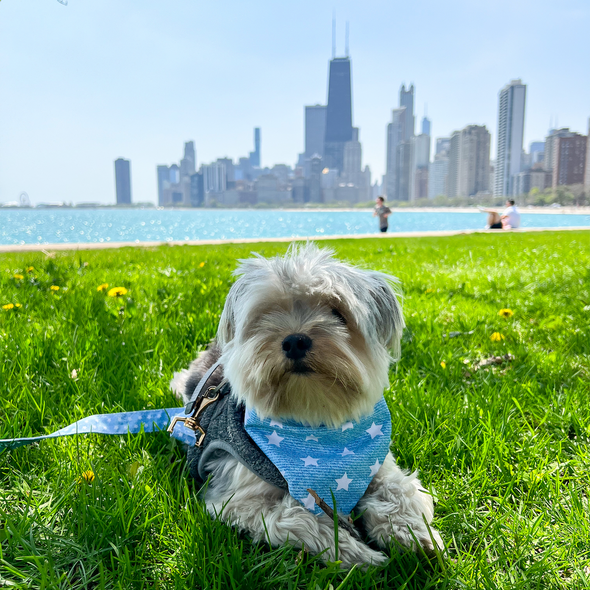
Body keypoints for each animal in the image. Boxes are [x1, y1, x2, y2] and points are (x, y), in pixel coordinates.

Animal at [171, 244, 444, 568]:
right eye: (266, 315)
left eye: (337, 312)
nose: (295, 341)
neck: (313, 422)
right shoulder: (238, 498)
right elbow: (298, 519)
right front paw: (356, 553)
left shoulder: (378, 465)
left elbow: (398, 491)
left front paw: (416, 534)